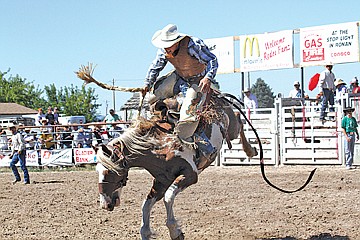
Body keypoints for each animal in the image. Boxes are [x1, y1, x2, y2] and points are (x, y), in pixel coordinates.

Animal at [93, 95, 256, 240]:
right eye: (97, 171)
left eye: (109, 172)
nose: (105, 204)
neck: (160, 147)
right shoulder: (161, 181)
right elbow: (146, 205)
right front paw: (146, 232)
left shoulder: (190, 175)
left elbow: (168, 197)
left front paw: (175, 232)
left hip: (232, 128)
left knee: (238, 118)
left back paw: (250, 150)